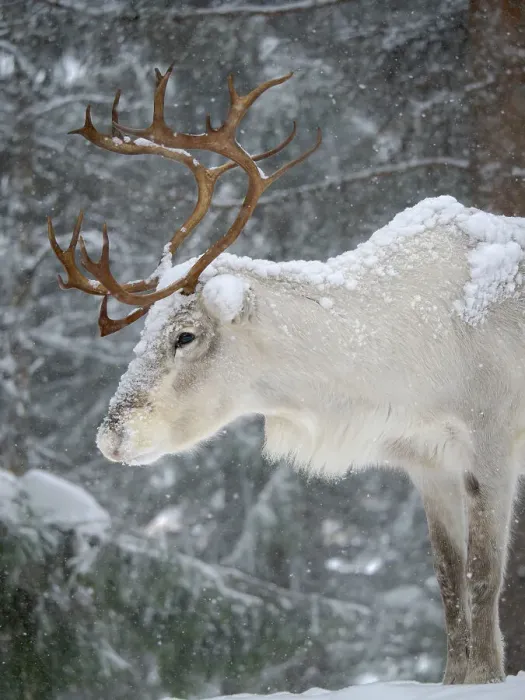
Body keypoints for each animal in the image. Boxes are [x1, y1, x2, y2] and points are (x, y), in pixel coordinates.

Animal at [47, 65, 525, 686]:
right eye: (144, 331)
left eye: (185, 335)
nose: (112, 435)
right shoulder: (428, 464)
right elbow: (448, 584)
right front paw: (454, 680)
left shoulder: (493, 440)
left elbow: (484, 577)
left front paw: (487, 679)